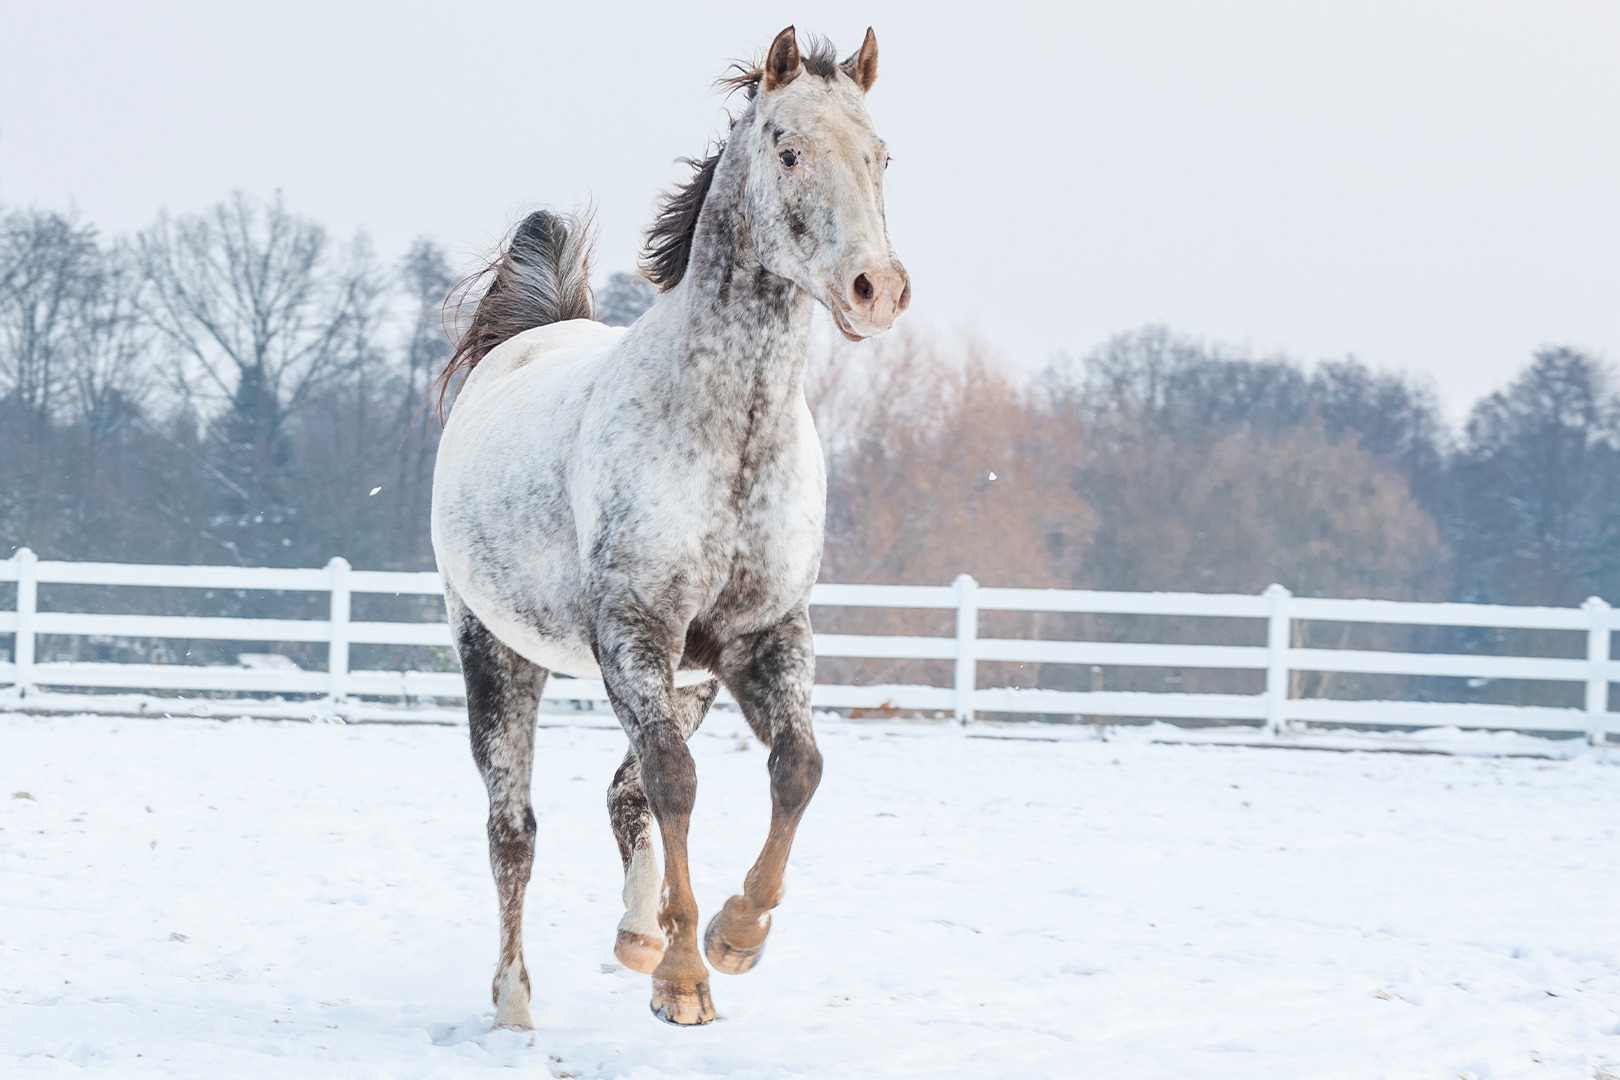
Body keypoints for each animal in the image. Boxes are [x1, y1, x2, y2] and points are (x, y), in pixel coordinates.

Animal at [430, 27, 913, 1029]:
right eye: (788, 150)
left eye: (881, 156)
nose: (876, 290)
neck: (728, 434)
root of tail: (525, 339)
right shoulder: (634, 633)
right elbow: (676, 780)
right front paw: (687, 980)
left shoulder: (763, 635)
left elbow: (798, 767)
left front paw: (734, 936)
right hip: (496, 653)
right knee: (515, 830)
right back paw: (515, 1004)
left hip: (688, 678)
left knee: (625, 793)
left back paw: (636, 932)